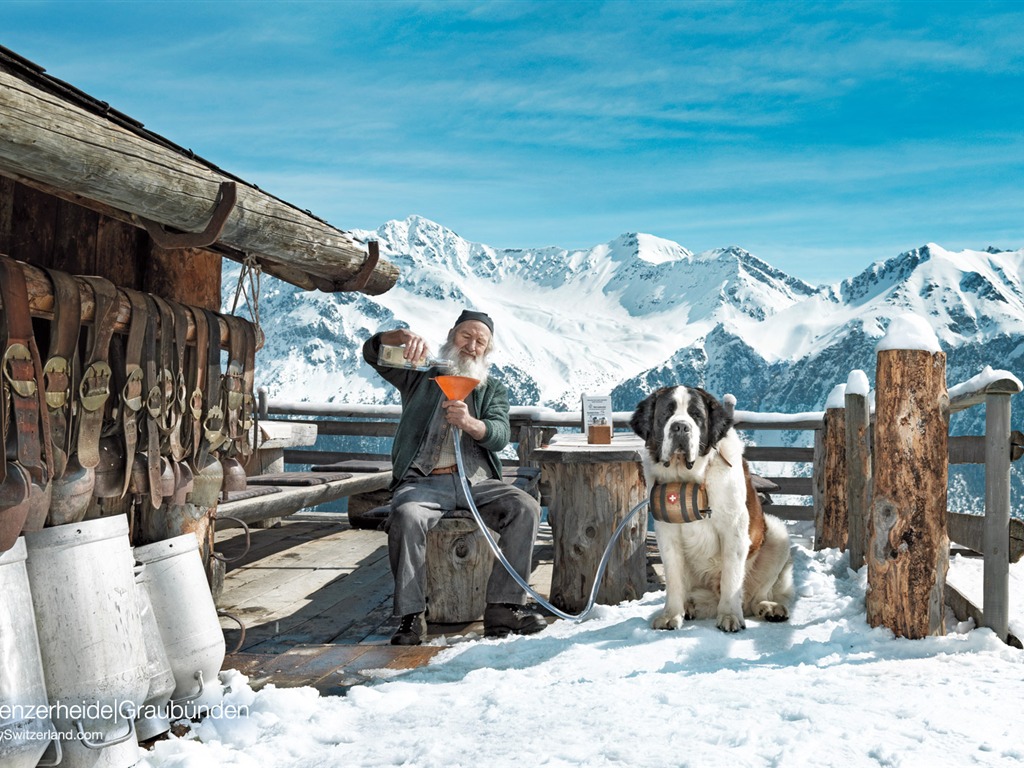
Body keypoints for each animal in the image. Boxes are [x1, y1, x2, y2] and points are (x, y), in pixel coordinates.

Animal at [626, 387, 794, 634]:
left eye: (696, 415)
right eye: (667, 413)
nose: (680, 427)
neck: (691, 477)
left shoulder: (733, 529)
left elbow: (731, 578)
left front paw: (730, 616)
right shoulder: (666, 532)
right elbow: (673, 578)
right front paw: (671, 615)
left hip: (777, 532)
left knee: (754, 597)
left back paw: (768, 608)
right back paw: (689, 607)